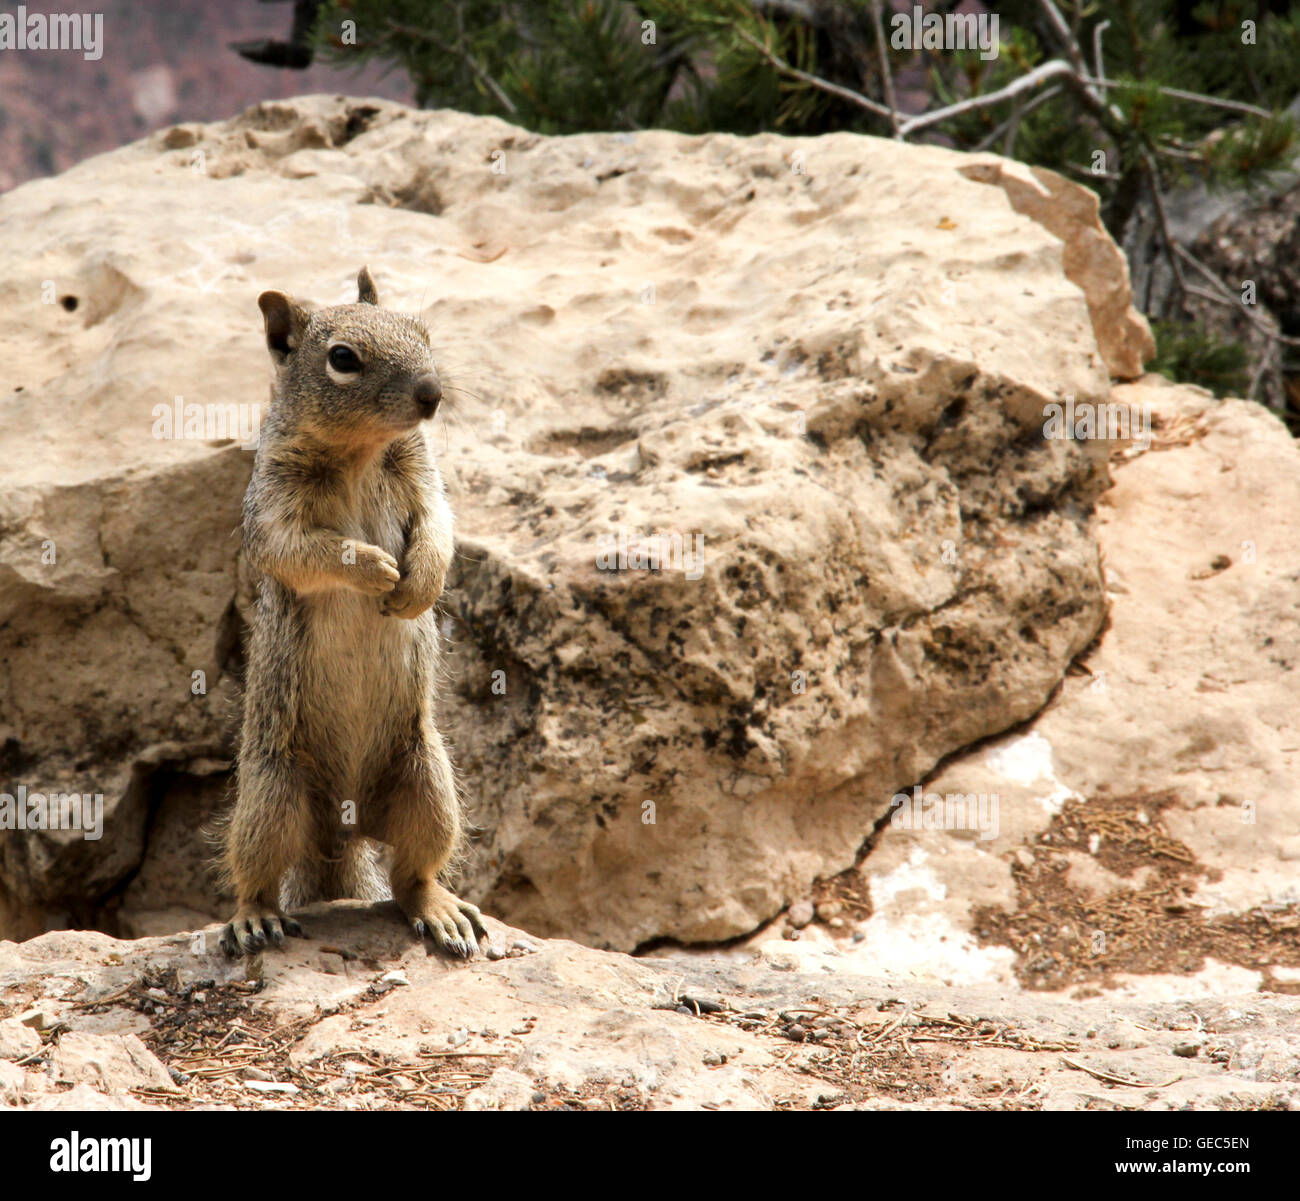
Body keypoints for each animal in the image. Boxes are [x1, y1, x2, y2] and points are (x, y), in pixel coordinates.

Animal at [216, 266, 487, 959]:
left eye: (422, 331)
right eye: (342, 359)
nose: (432, 394)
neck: (362, 450)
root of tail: (343, 832)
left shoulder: (424, 475)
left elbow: (440, 526)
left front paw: (418, 583)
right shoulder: (273, 506)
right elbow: (300, 549)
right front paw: (373, 569)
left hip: (428, 783)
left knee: (411, 876)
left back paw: (440, 911)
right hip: (271, 796)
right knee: (256, 872)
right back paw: (254, 918)